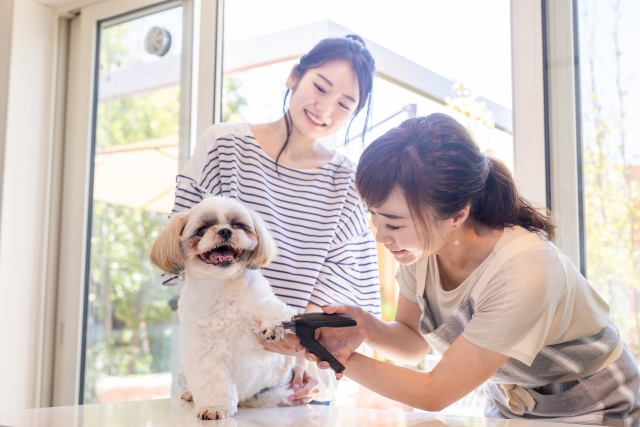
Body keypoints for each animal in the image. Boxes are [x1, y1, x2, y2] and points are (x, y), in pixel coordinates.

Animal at [149, 197, 298, 422]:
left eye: (238, 226)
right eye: (203, 229)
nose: (225, 231)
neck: (223, 287)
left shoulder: (264, 336)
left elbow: (269, 306)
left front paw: (272, 323)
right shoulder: (205, 347)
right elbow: (212, 380)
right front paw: (213, 407)